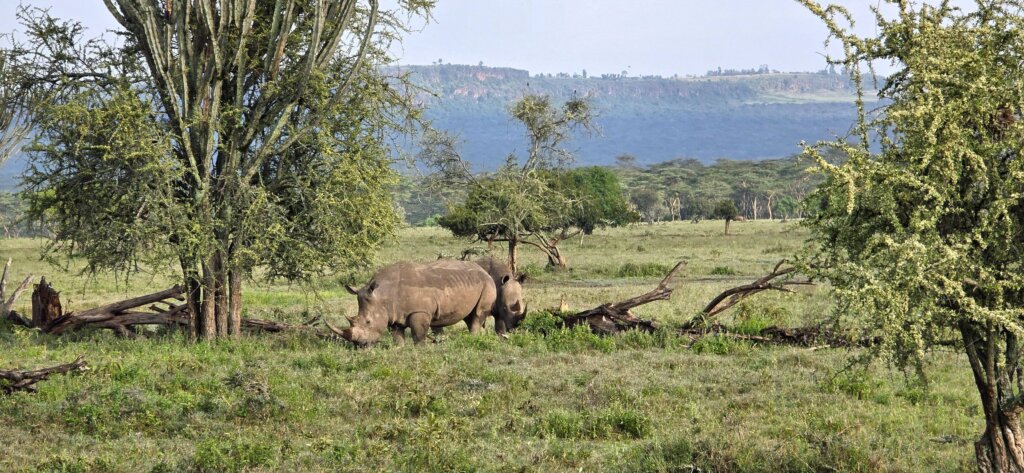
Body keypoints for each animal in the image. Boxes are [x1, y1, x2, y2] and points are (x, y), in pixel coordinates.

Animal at [343, 260, 496, 346]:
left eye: (368, 322)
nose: (359, 345)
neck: (383, 295)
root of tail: (484, 271)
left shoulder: (419, 311)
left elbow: (418, 335)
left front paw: (421, 350)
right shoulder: (394, 314)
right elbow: (397, 336)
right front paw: (400, 349)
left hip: (488, 283)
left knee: (477, 314)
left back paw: (473, 340)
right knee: (469, 316)